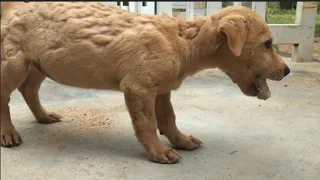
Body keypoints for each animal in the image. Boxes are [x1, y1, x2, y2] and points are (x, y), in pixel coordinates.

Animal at [0, 1, 290, 165]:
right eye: (267, 44)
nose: (287, 71)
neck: (182, 44)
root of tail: (12, 7)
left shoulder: (162, 89)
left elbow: (169, 119)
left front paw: (182, 141)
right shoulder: (138, 87)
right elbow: (147, 123)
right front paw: (160, 153)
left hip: (39, 63)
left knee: (28, 88)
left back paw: (44, 116)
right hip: (13, 62)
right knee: (5, 97)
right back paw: (8, 134)